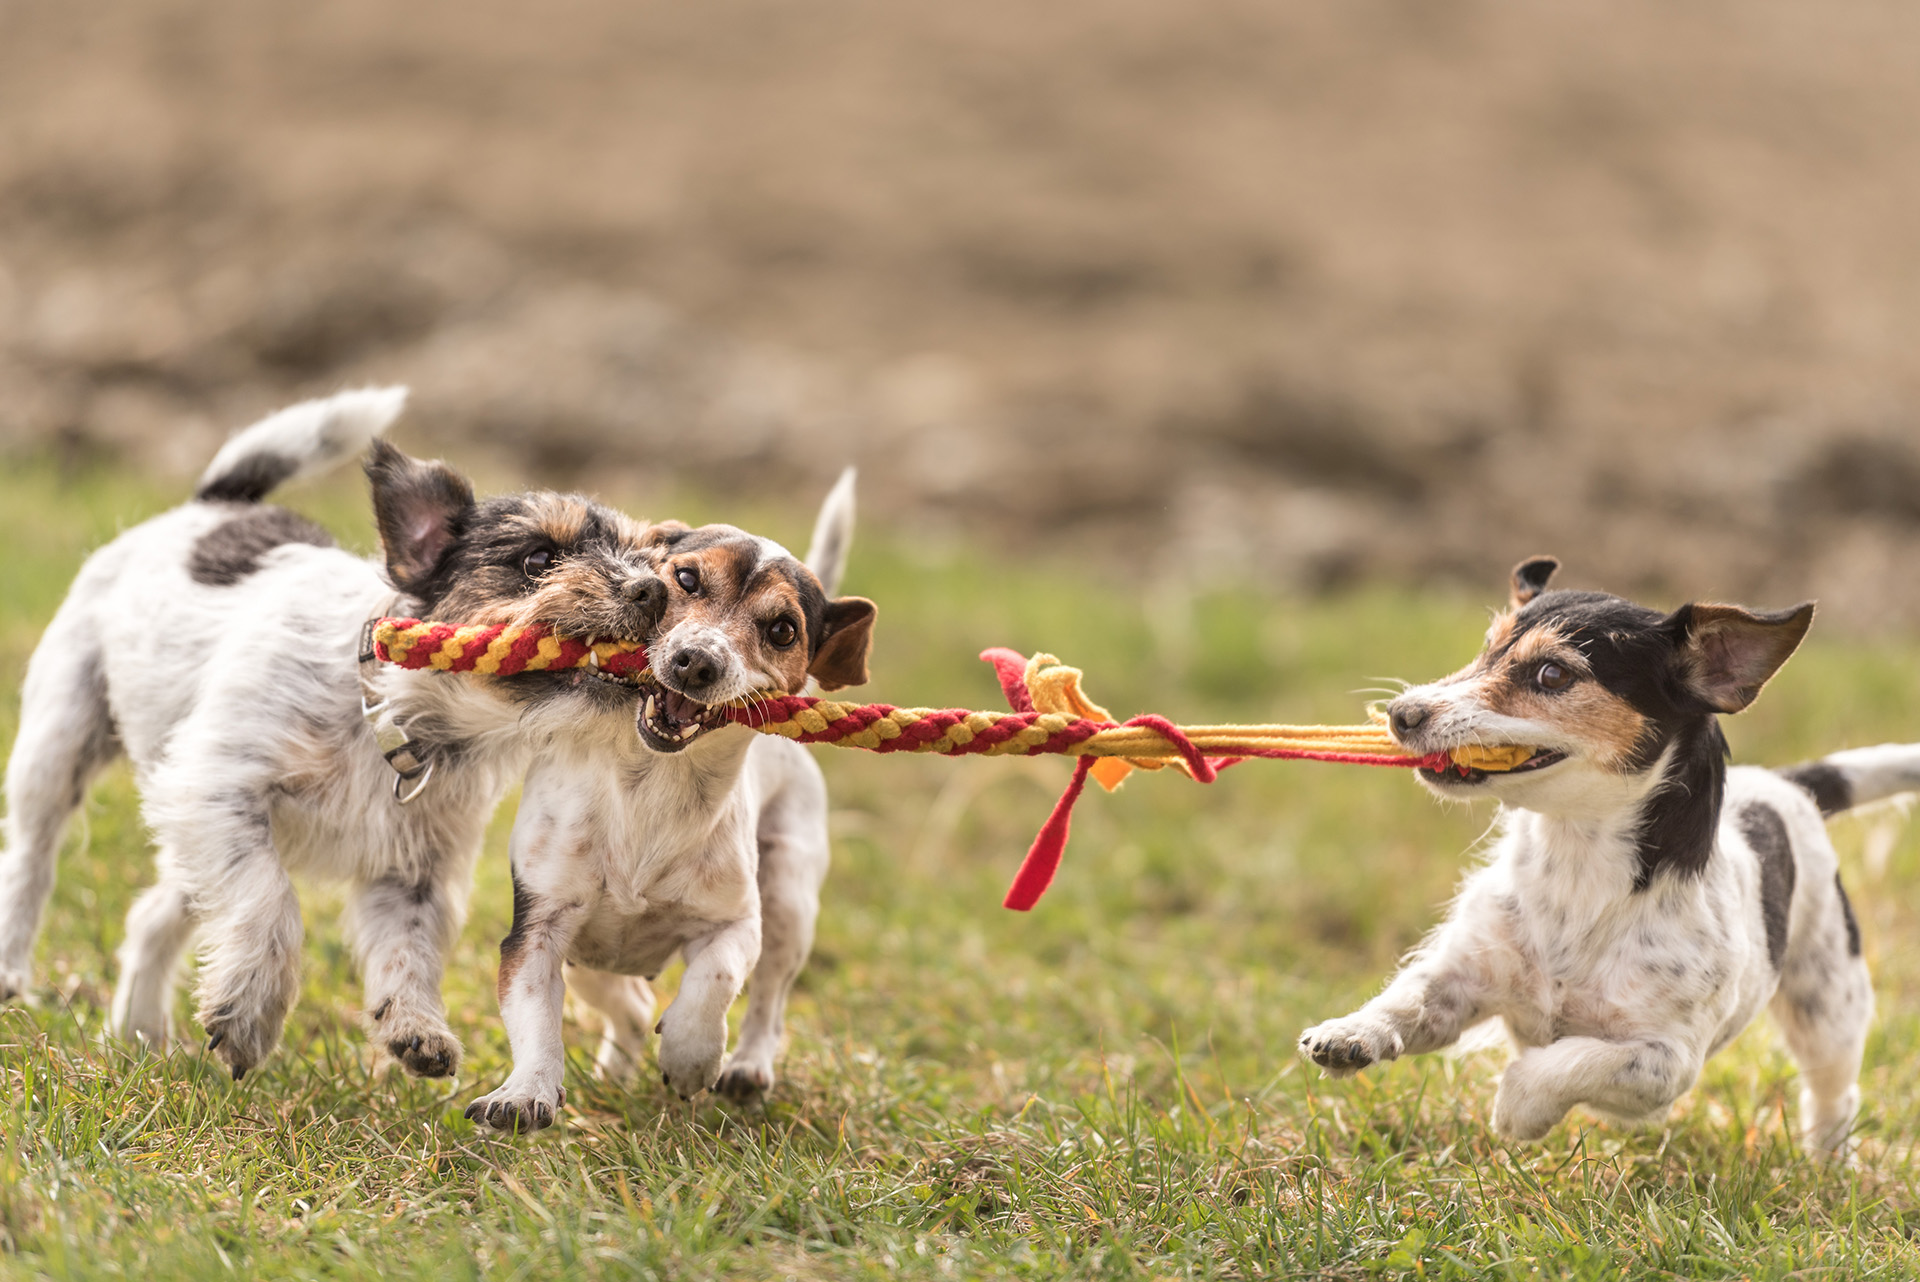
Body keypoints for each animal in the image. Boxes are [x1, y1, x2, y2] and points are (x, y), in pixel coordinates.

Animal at [0, 387, 672, 1082]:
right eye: (539, 559)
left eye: (650, 560)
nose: (652, 589)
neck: (393, 714)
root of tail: (211, 504)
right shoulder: (215, 789)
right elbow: (268, 898)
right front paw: (252, 1012)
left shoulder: (412, 872)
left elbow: (409, 946)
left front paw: (413, 1025)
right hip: (58, 741)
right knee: (31, 858)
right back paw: (15, 968)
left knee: (152, 913)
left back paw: (139, 1029)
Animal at [464, 477, 879, 1128]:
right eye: (685, 579)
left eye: (783, 631)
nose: (697, 661)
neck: (653, 785)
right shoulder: (537, 927)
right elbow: (535, 1017)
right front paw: (526, 1092)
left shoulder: (738, 923)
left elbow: (713, 981)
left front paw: (690, 1058)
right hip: (590, 957)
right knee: (629, 1004)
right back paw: (614, 1070)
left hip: (789, 898)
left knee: (767, 1002)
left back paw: (745, 1067)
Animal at [1290, 556, 1920, 1151]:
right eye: (1486, 649)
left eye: (1553, 673)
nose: (1401, 714)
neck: (1576, 863)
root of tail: (1787, 784)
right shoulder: (1460, 979)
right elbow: (1407, 999)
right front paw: (1351, 1033)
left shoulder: (1663, 1061)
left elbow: (1569, 1062)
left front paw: (1518, 1108)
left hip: (1830, 1004)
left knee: (1833, 1092)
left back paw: (1827, 1161)